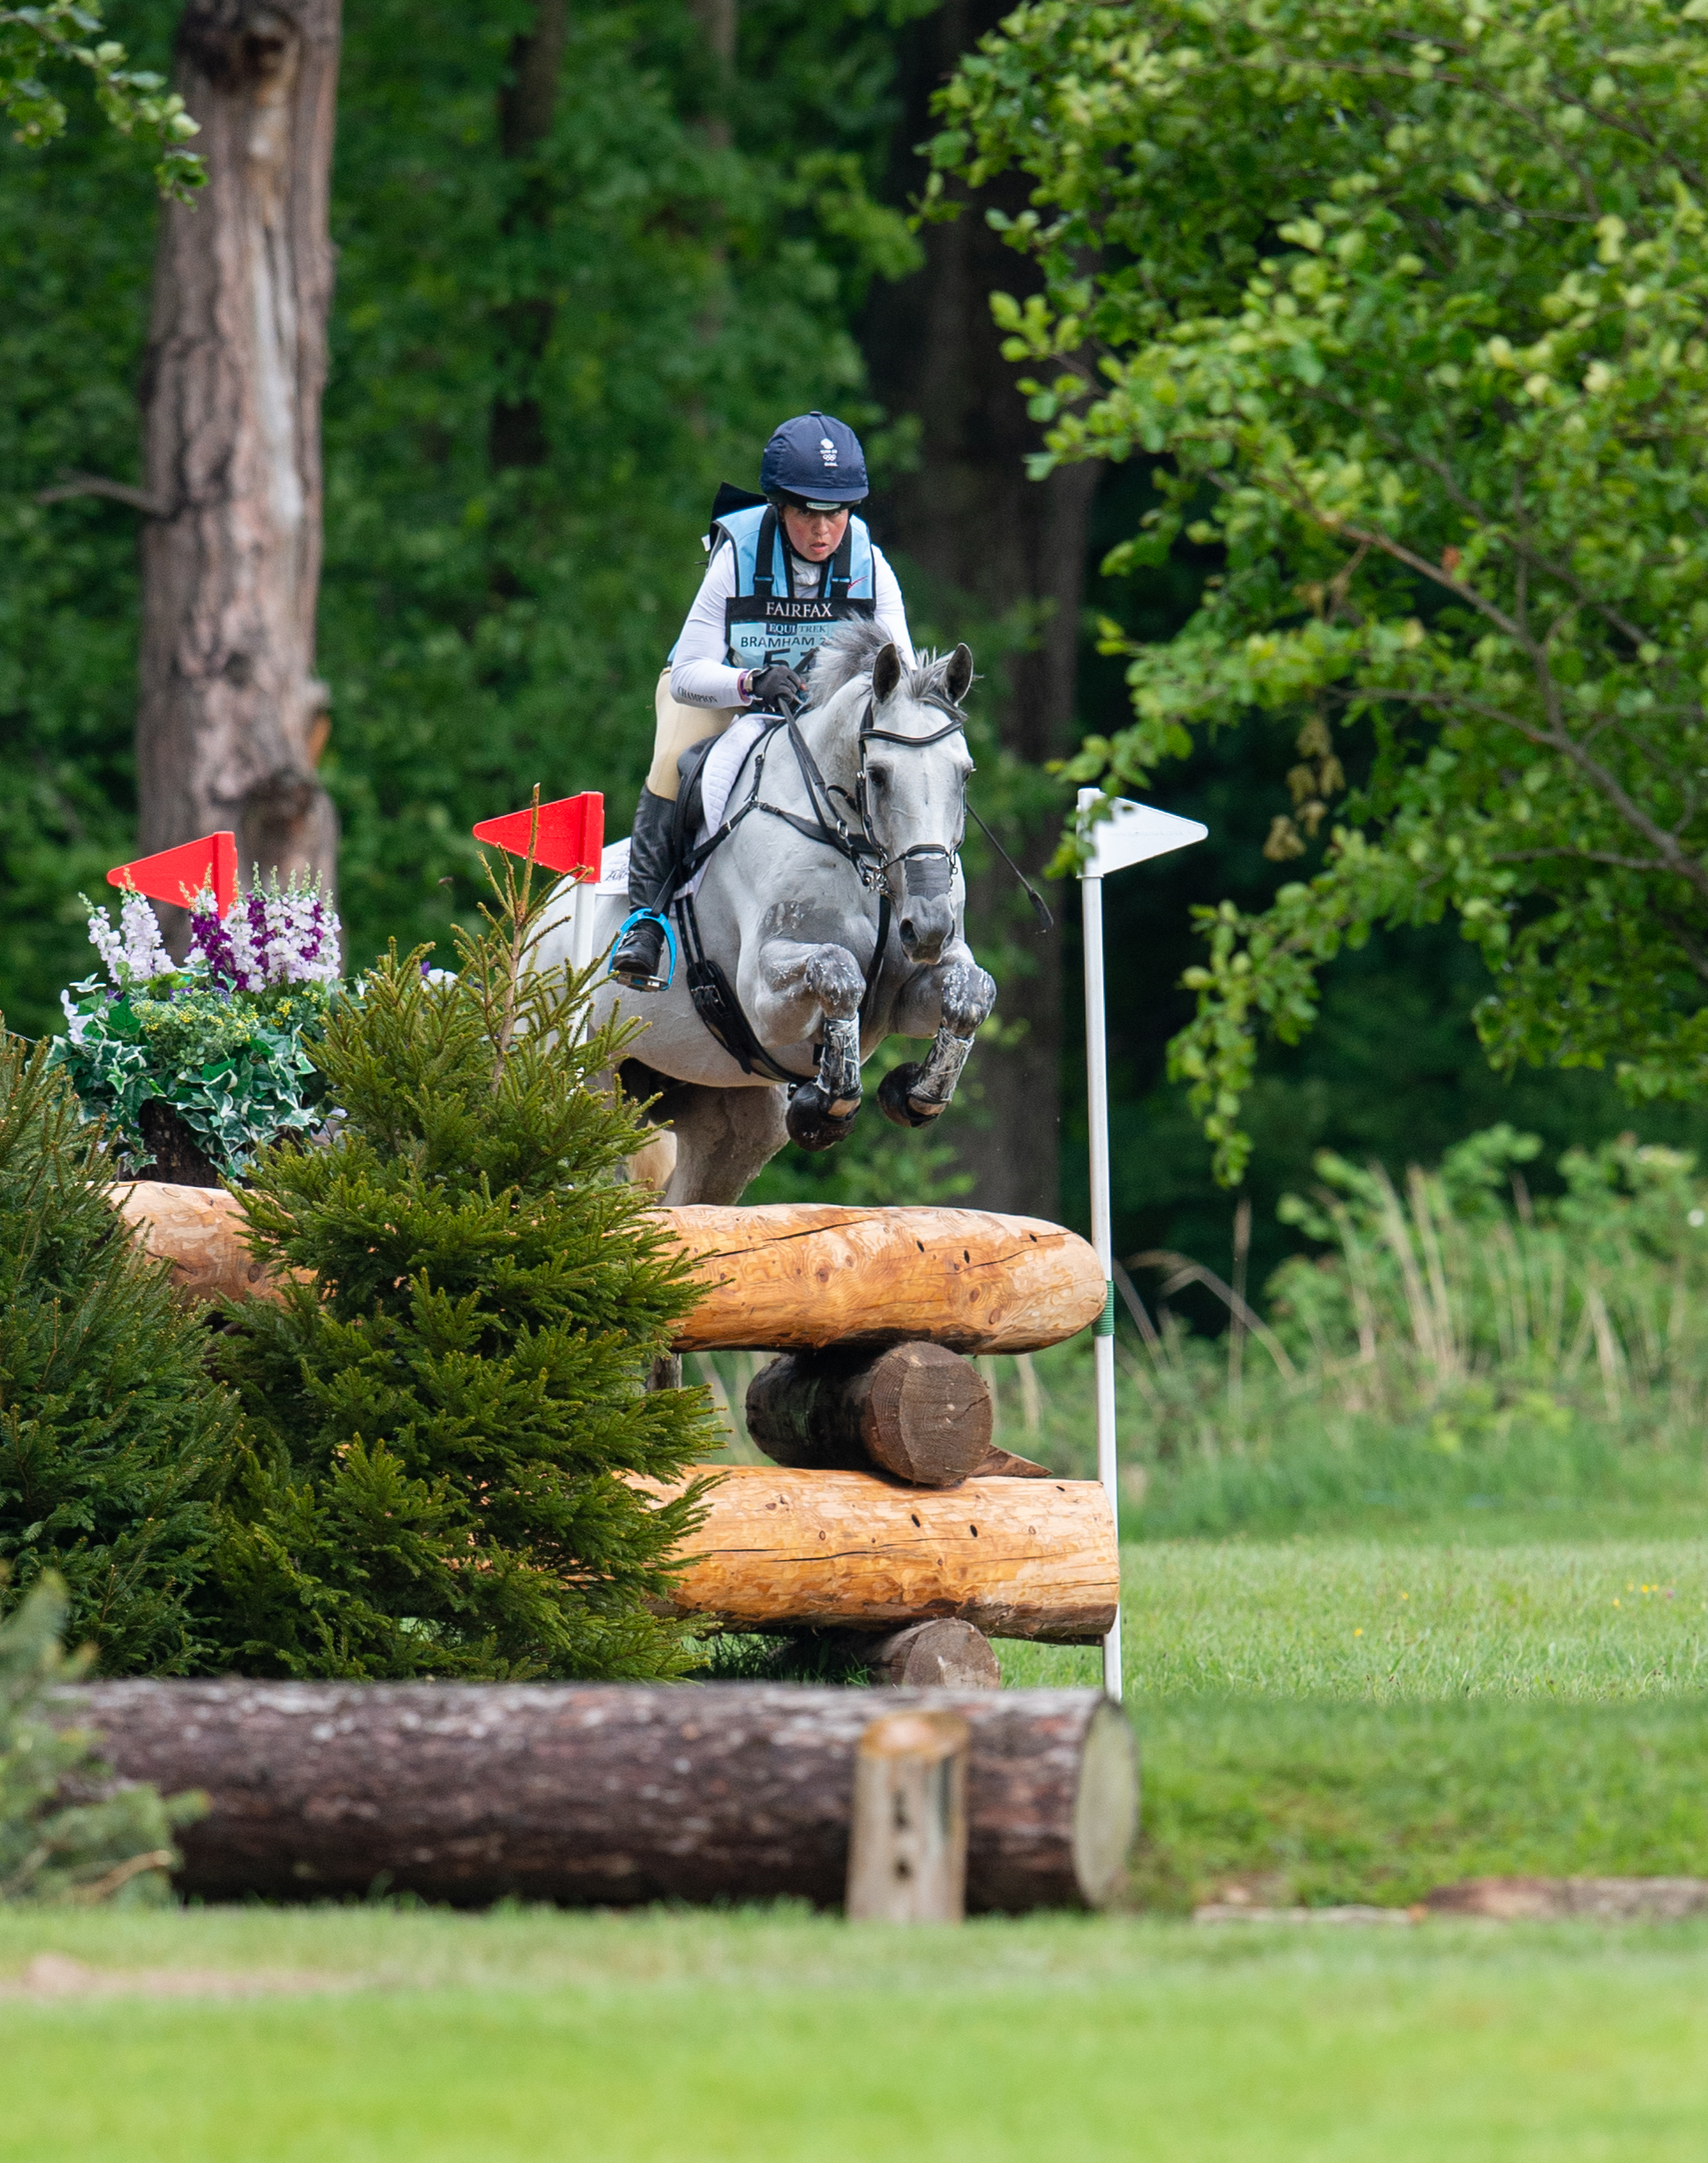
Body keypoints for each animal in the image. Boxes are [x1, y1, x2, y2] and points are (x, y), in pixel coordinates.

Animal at [536, 618, 1002, 1211]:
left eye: (964, 775)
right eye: (877, 775)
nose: (929, 927)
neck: (857, 853)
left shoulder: (905, 992)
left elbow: (972, 992)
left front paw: (915, 1093)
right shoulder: (761, 994)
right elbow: (838, 973)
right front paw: (826, 1107)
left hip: (729, 1125)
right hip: (581, 1084)